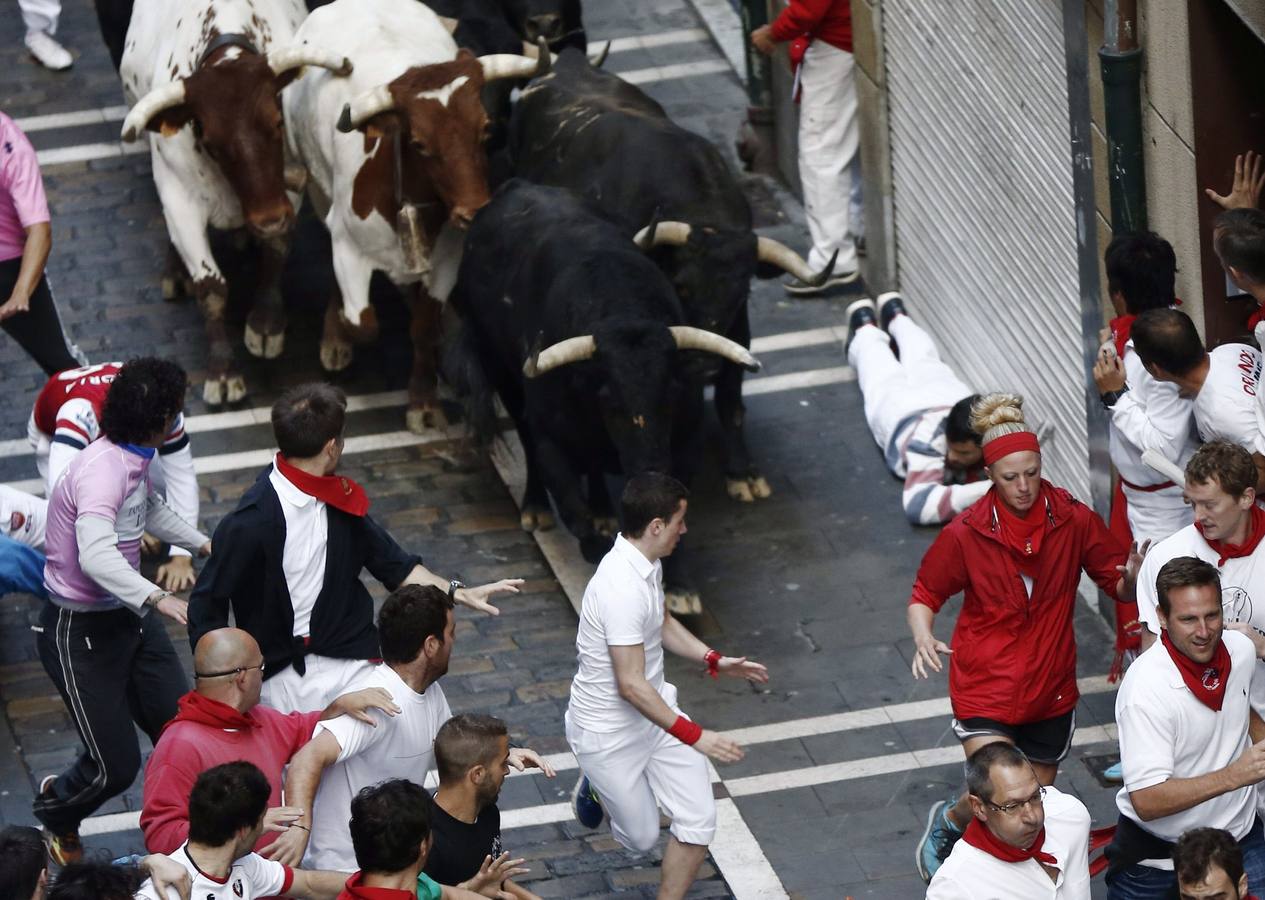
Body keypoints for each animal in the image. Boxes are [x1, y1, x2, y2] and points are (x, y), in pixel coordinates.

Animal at [447, 181, 753, 569]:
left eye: (672, 390)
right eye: (609, 398)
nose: (650, 468)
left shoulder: (684, 444)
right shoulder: (550, 441)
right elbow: (575, 514)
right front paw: (594, 545)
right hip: (499, 369)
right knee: (526, 435)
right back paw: (536, 507)